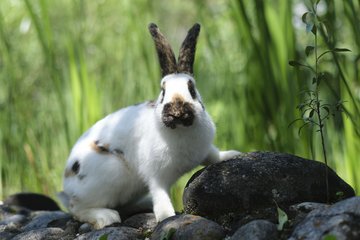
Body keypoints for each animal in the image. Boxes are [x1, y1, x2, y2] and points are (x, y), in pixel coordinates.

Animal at [58, 23, 239, 230]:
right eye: (163, 91)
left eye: (191, 89)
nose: (177, 111)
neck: (181, 131)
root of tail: (66, 184)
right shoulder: (156, 175)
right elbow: (160, 194)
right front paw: (167, 217)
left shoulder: (205, 149)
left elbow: (213, 156)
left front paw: (232, 154)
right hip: (110, 175)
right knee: (76, 209)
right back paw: (105, 217)